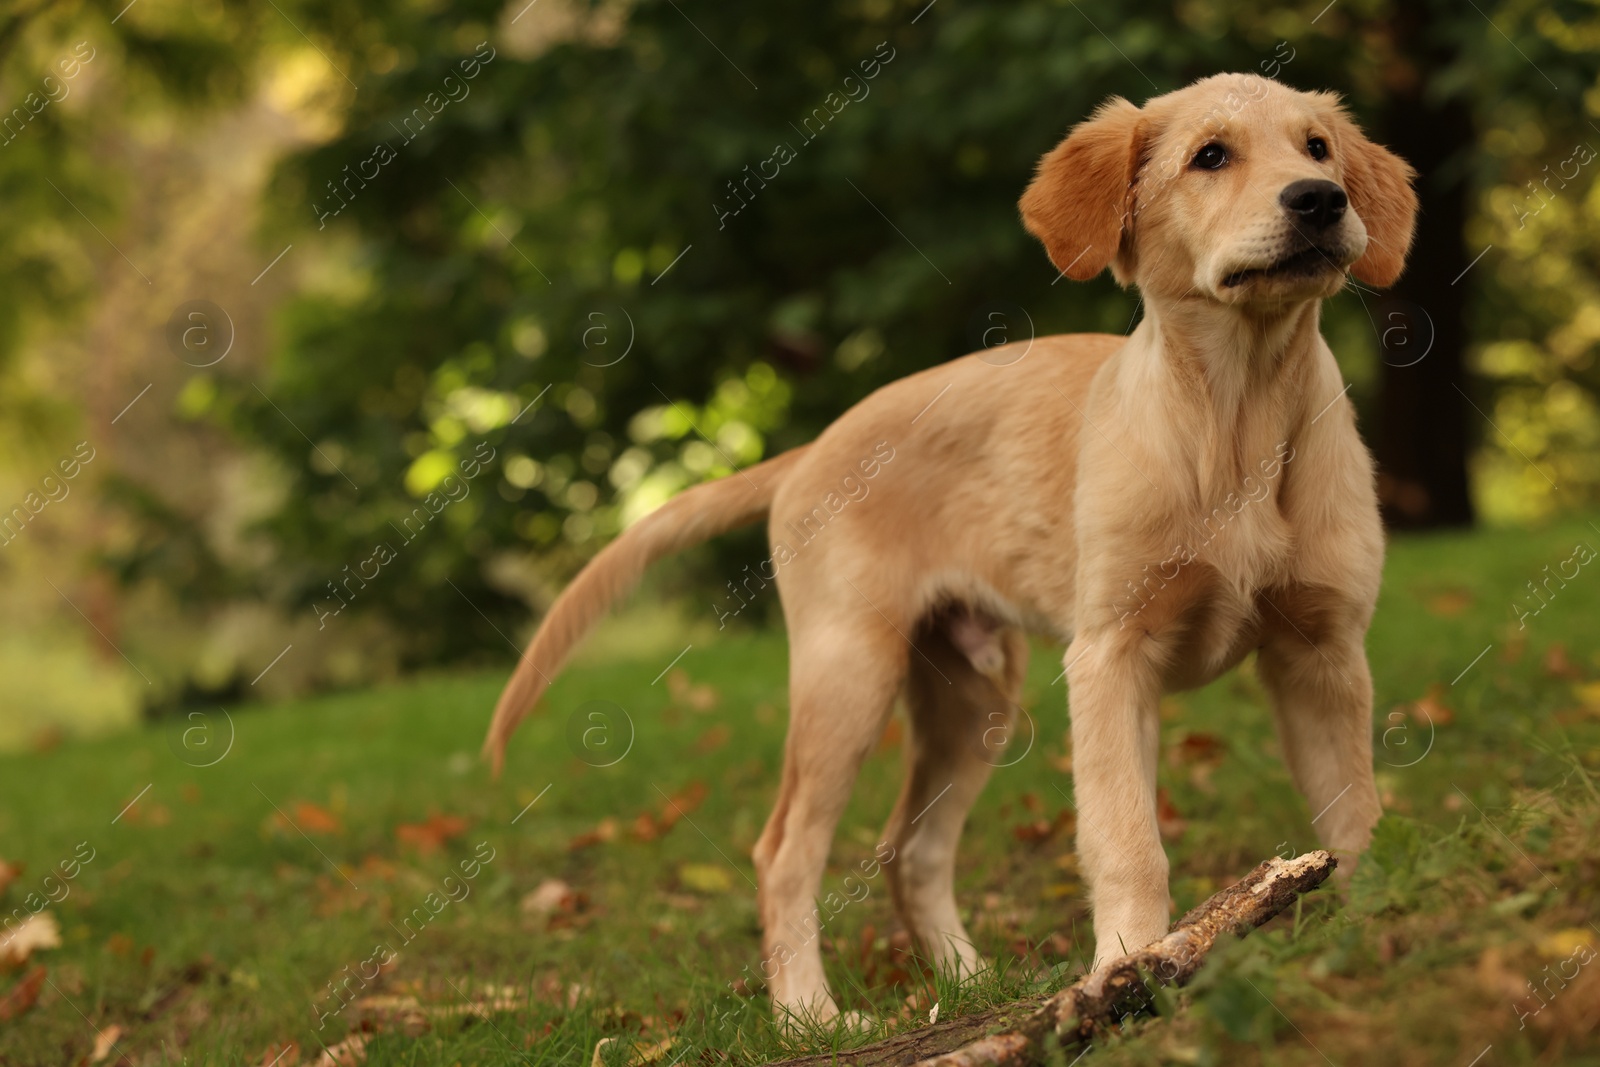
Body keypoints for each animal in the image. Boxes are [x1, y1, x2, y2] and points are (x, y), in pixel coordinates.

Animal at [480, 73, 1420, 1023]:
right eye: (1211, 156)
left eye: (1318, 149)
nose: (1320, 200)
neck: (1239, 419)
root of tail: (813, 447)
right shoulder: (1112, 654)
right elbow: (1126, 835)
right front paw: (1129, 964)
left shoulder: (1322, 649)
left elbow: (1355, 811)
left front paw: (1375, 922)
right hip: (848, 671)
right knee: (784, 851)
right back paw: (809, 1013)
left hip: (974, 696)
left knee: (912, 848)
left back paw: (971, 984)